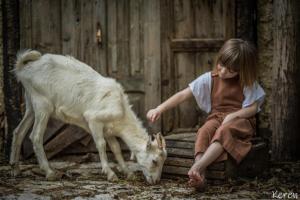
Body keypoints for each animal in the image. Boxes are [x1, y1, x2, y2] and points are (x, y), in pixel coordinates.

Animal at [9, 49, 168, 184]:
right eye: (155, 161)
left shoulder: (108, 130)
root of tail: (23, 69)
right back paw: (49, 172)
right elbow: (101, 144)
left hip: (31, 104)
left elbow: (116, 148)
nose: (156, 181)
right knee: (35, 136)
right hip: (43, 104)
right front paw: (110, 174)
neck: (121, 109)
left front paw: (128, 173)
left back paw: (15, 169)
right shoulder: (94, 120)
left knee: (18, 131)